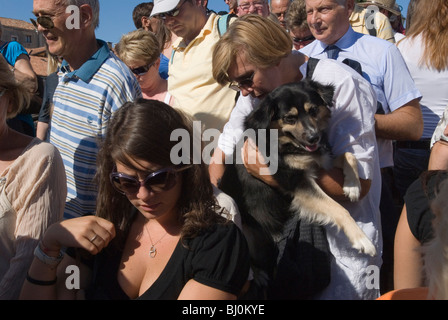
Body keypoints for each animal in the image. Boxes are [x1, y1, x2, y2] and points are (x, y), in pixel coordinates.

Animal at [219, 80, 376, 292]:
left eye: (313, 110)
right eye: (290, 118)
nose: (313, 138)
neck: (286, 145)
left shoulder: (320, 160)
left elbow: (348, 155)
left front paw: (352, 185)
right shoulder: (297, 181)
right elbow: (339, 209)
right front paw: (362, 240)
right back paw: (259, 275)